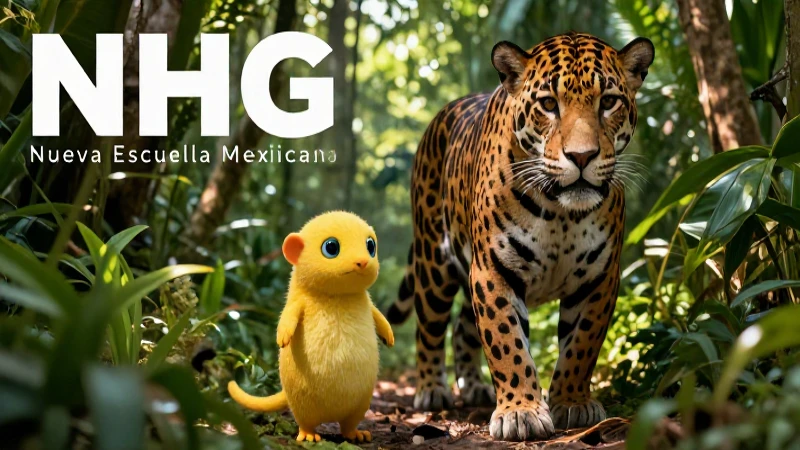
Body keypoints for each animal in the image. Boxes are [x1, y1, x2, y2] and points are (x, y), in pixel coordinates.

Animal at [386, 32, 654, 441]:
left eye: (609, 102)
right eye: (549, 104)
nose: (582, 156)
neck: (560, 212)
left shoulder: (600, 278)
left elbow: (582, 344)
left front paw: (572, 402)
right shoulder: (493, 270)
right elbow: (506, 341)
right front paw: (521, 412)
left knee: (463, 326)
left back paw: (473, 385)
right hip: (434, 262)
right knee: (429, 326)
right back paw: (432, 390)